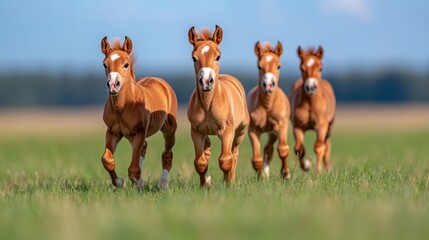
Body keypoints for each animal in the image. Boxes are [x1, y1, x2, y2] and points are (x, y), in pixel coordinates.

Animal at [100, 36, 177, 189]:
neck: (122, 108)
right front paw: (121, 182)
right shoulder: (113, 132)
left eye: (126, 64)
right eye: (105, 64)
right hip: (129, 135)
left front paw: (137, 186)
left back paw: (163, 184)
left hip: (169, 130)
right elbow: (107, 160)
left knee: (167, 154)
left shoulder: (139, 132)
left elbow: (133, 169)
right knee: (144, 148)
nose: (113, 85)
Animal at [186, 25, 249, 188]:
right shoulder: (196, 131)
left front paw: (229, 184)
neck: (208, 105)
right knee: (207, 150)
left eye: (218, 57)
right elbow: (200, 162)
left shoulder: (226, 130)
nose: (206, 82)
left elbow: (226, 160)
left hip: (240, 132)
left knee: (234, 153)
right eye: (194, 58)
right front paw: (204, 186)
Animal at [247, 41, 290, 179]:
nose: (269, 85)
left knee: (269, 149)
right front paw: (260, 178)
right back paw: (265, 174)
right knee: (267, 149)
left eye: (279, 66)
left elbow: (283, 149)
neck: (267, 107)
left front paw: (286, 174)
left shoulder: (281, 126)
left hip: (273, 132)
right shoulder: (253, 130)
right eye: (259, 66)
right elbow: (257, 159)